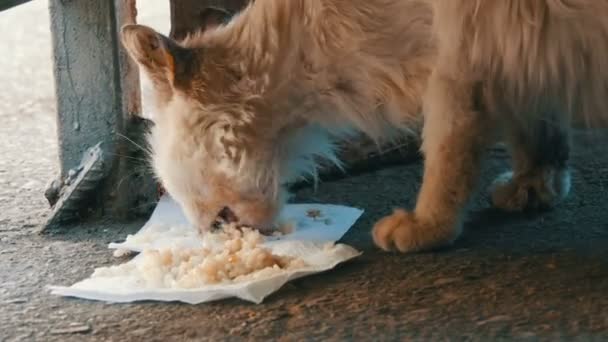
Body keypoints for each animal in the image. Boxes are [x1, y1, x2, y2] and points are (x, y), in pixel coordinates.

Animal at [372, 0, 608, 251]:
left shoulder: (468, 47)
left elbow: (445, 151)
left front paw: (428, 223)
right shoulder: (510, 48)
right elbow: (539, 132)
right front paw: (533, 185)